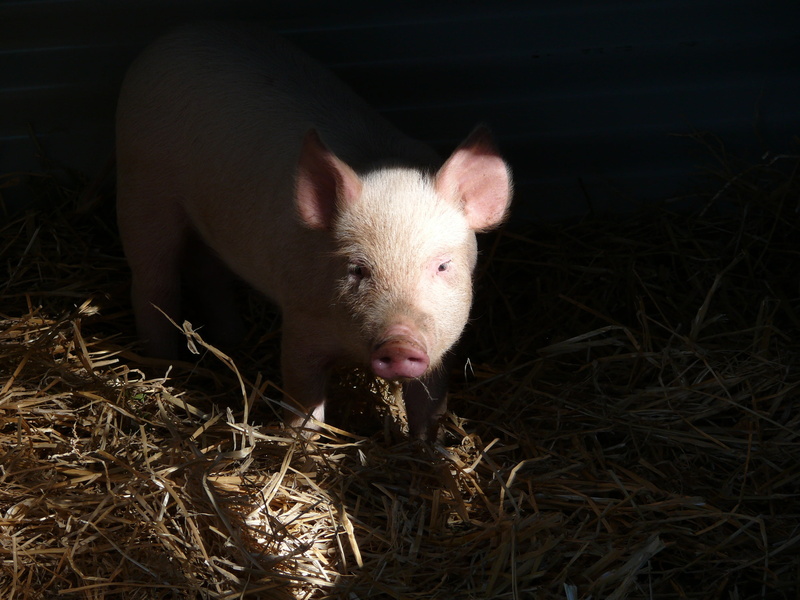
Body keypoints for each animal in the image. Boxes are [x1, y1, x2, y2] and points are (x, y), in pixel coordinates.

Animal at [115, 22, 512, 441]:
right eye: (357, 269)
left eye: (442, 266)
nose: (400, 342)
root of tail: (177, 34)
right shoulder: (301, 320)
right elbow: (302, 396)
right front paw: (301, 444)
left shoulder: (443, 343)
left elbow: (428, 402)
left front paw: (426, 446)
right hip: (141, 185)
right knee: (154, 281)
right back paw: (161, 364)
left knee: (208, 272)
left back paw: (231, 340)